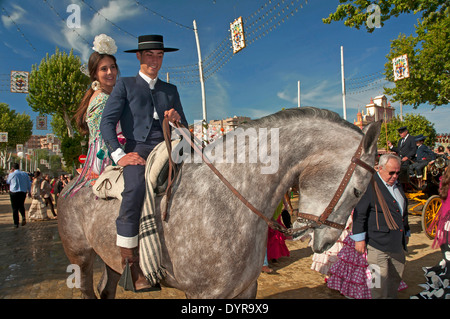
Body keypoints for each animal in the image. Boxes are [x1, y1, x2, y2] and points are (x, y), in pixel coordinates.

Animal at [56, 108, 380, 300]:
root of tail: (76, 180)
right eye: (357, 190)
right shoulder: (204, 295)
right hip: (80, 258)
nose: (325, 243)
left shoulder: (246, 289)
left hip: (110, 258)